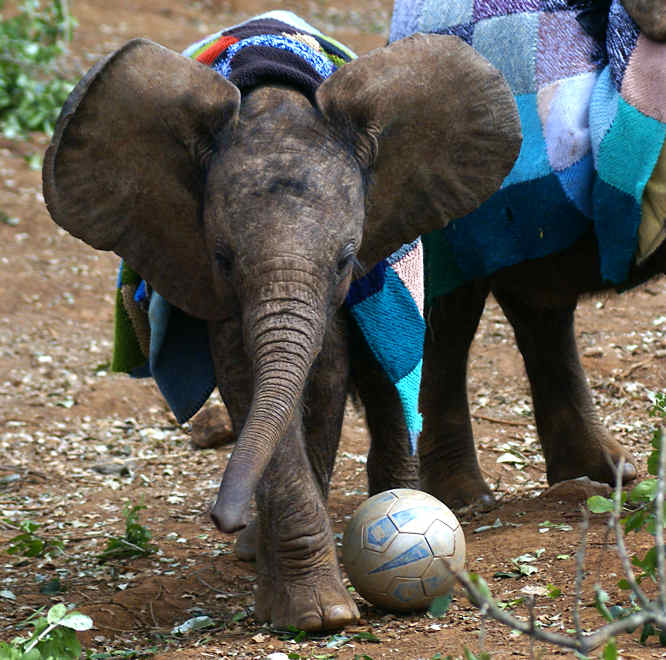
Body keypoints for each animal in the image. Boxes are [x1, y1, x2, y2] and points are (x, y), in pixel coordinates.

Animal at [41, 10, 520, 628]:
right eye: (222, 258)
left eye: (345, 258)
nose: (225, 518)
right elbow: (247, 375)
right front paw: (316, 616)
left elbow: (323, 376)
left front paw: (319, 615)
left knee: (382, 376)